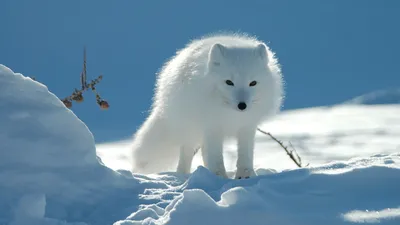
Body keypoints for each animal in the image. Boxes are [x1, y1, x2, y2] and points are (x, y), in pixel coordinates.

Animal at [131, 32, 284, 179]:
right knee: (187, 152)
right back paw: (184, 174)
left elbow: (245, 154)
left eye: (253, 83)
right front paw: (219, 177)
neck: (230, 115)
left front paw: (245, 175)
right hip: (190, 128)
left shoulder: (247, 126)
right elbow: (215, 157)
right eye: (229, 82)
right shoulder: (212, 126)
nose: (242, 105)